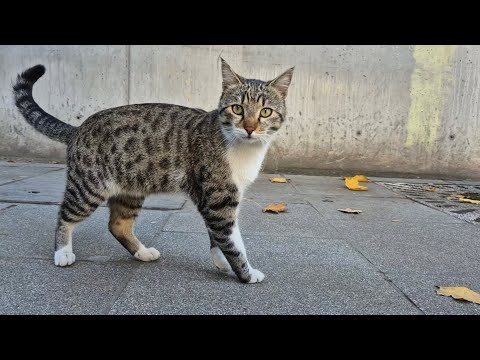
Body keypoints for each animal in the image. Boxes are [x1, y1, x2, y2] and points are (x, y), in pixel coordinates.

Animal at [12, 59, 292, 282]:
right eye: (237, 109)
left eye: (265, 112)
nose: (250, 128)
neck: (243, 149)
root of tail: (78, 128)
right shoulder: (218, 197)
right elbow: (231, 239)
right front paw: (246, 273)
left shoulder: (215, 196)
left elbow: (219, 236)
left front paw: (222, 262)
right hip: (89, 187)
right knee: (65, 214)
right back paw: (62, 251)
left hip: (130, 189)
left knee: (118, 225)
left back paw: (142, 252)